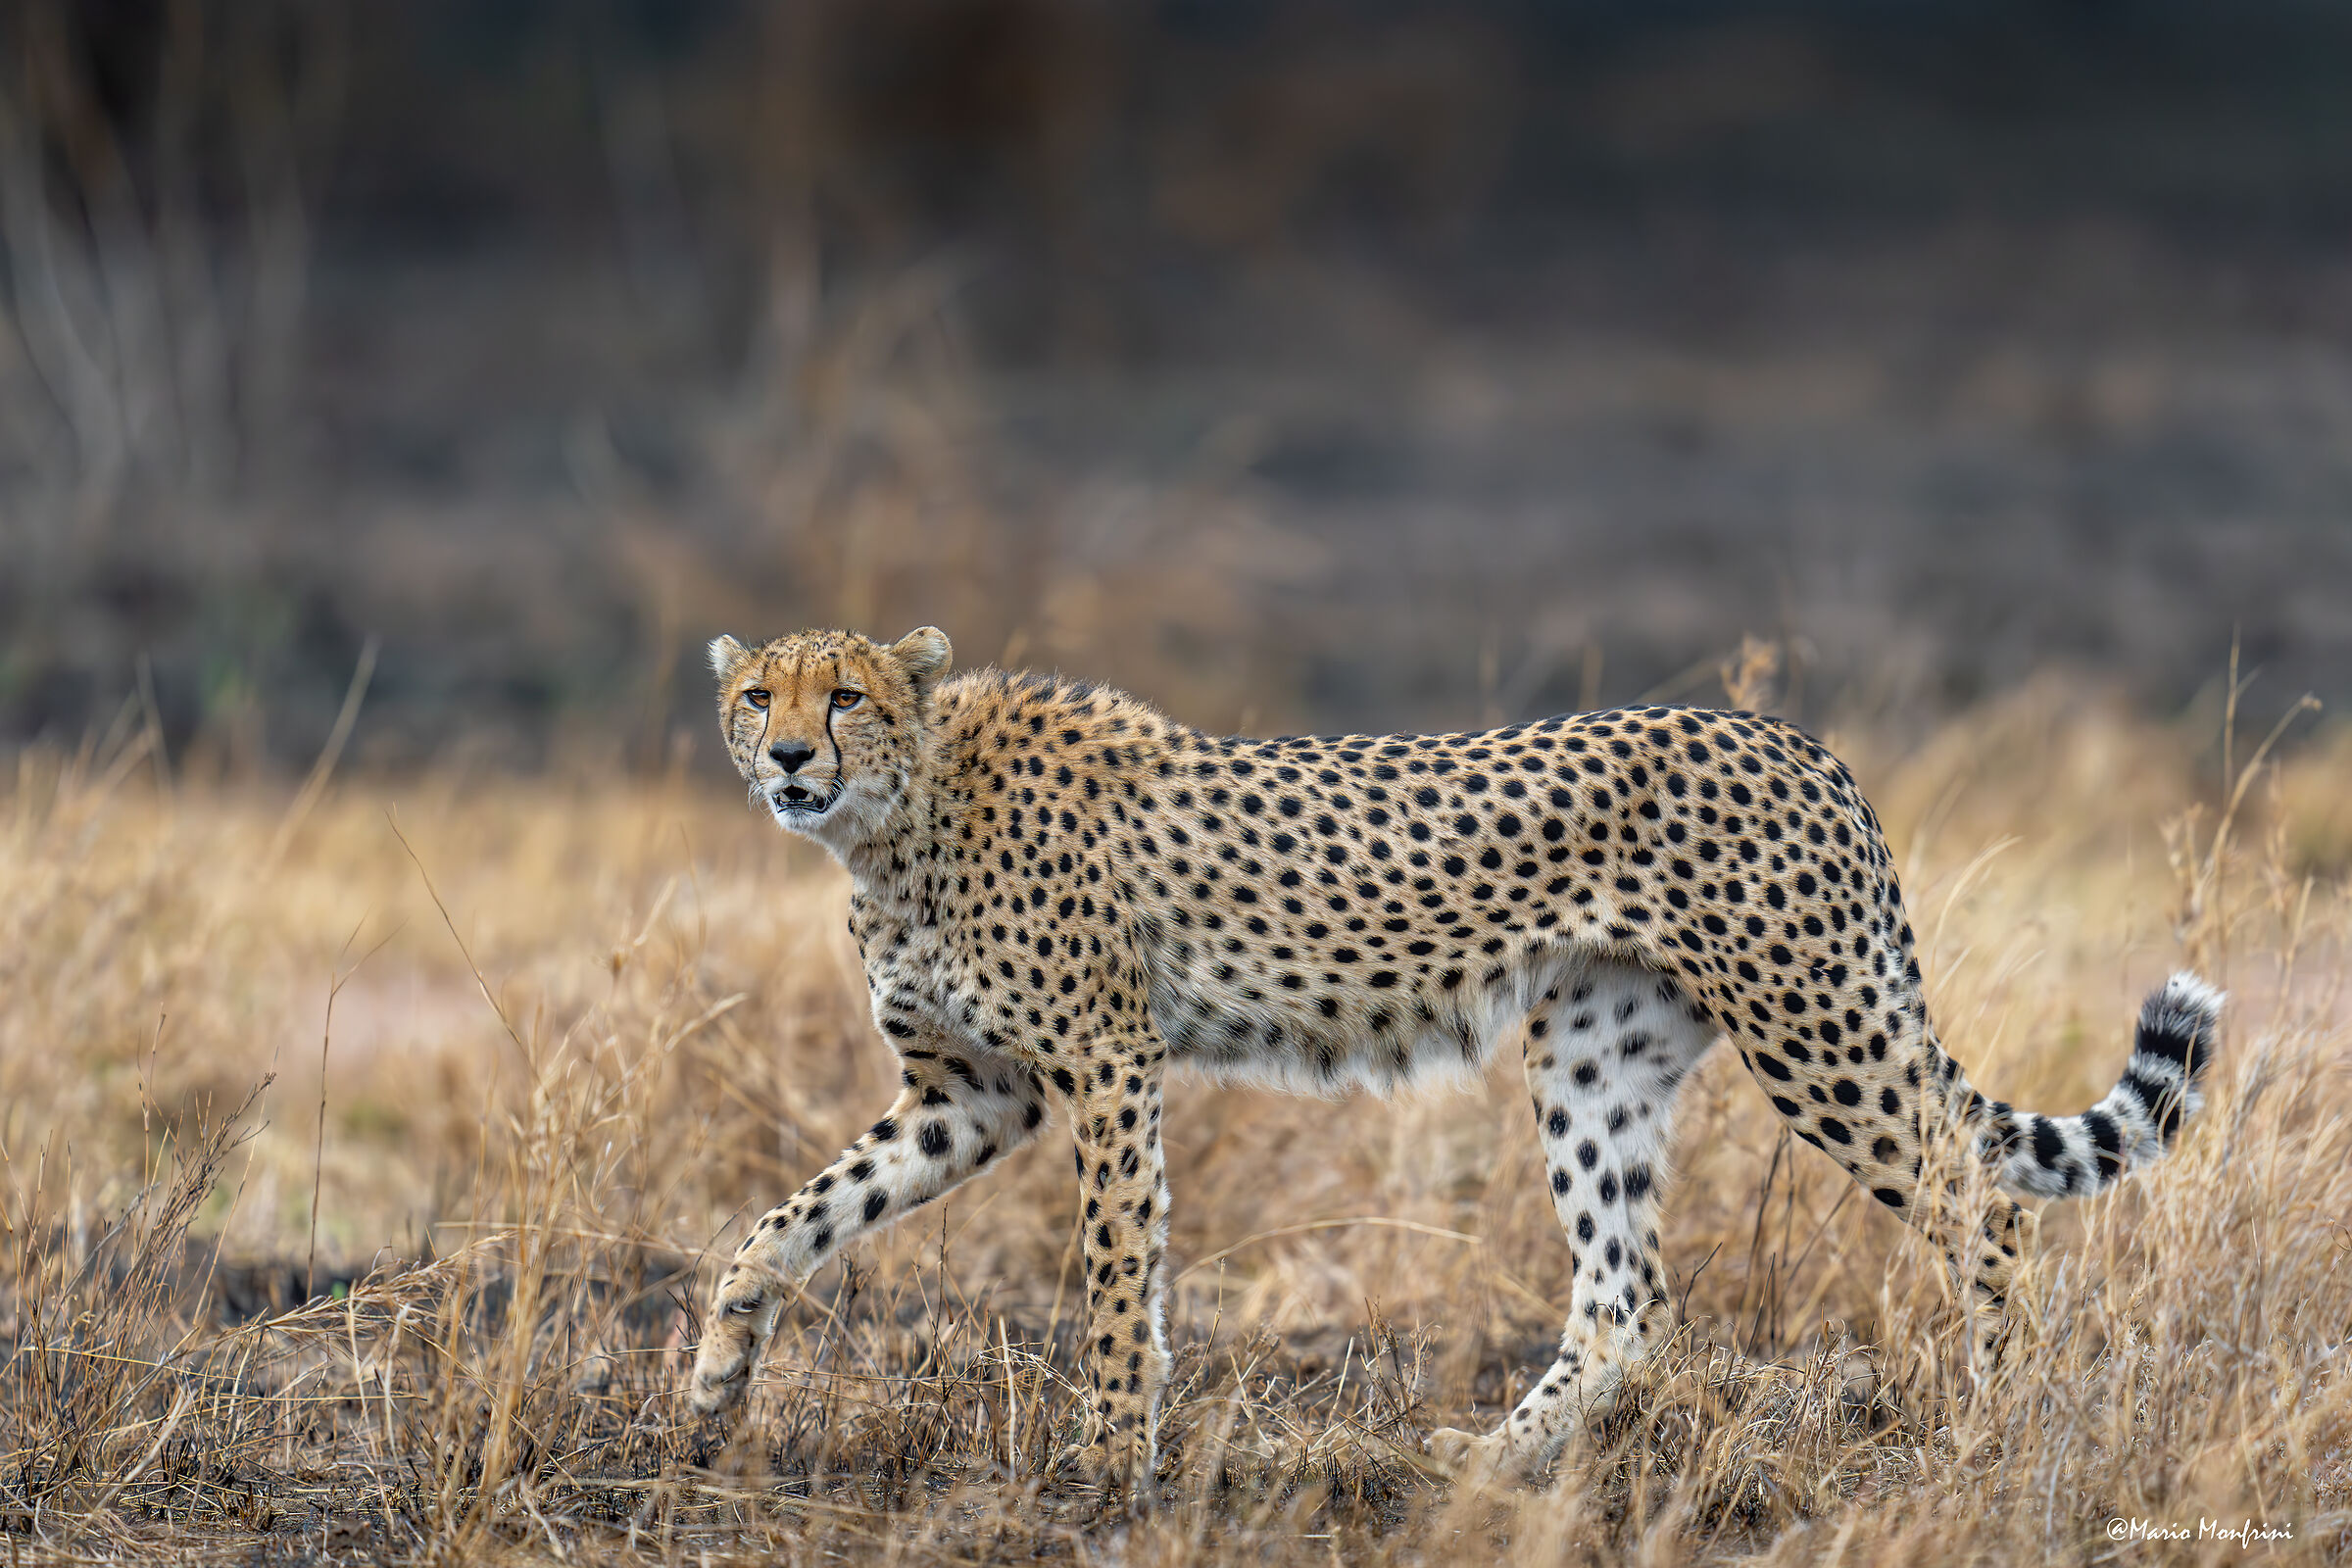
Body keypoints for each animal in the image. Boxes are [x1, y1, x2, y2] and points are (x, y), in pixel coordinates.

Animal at [684, 624, 2222, 1497]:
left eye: (847, 698)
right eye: (759, 694)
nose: (790, 761)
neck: (901, 818)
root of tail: (1794, 738)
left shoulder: (1108, 1064)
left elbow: (1120, 1272)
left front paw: (1108, 1455)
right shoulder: (971, 1094)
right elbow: (785, 1220)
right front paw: (710, 1394)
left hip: (1819, 1032)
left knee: (1986, 1209)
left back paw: (1995, 1430)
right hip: (1598, 1054)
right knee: (1625, 1297)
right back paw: (1479, 1465)